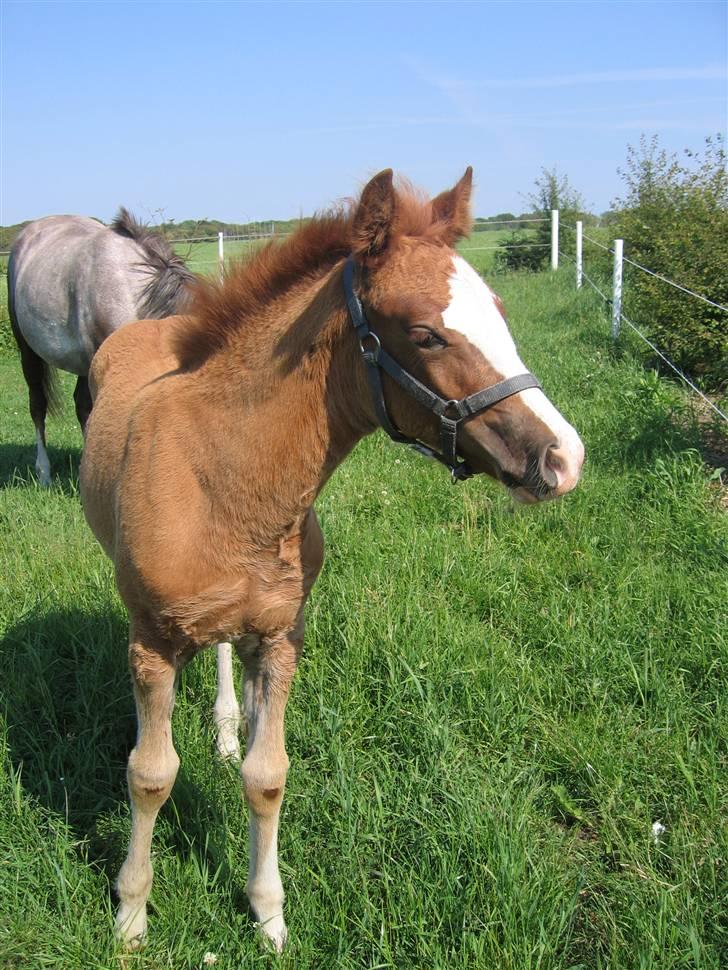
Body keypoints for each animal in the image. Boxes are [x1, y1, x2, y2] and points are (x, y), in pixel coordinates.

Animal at [79, 166, 584, 944]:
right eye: (426, 334)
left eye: (499, 309)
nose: (562, 458)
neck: (223, 476)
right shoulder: (154, 643)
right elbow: (149, 775)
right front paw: (130, 914)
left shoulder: (282, 635)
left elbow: (267, 776)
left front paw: (268, 917)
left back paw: (226, 731)